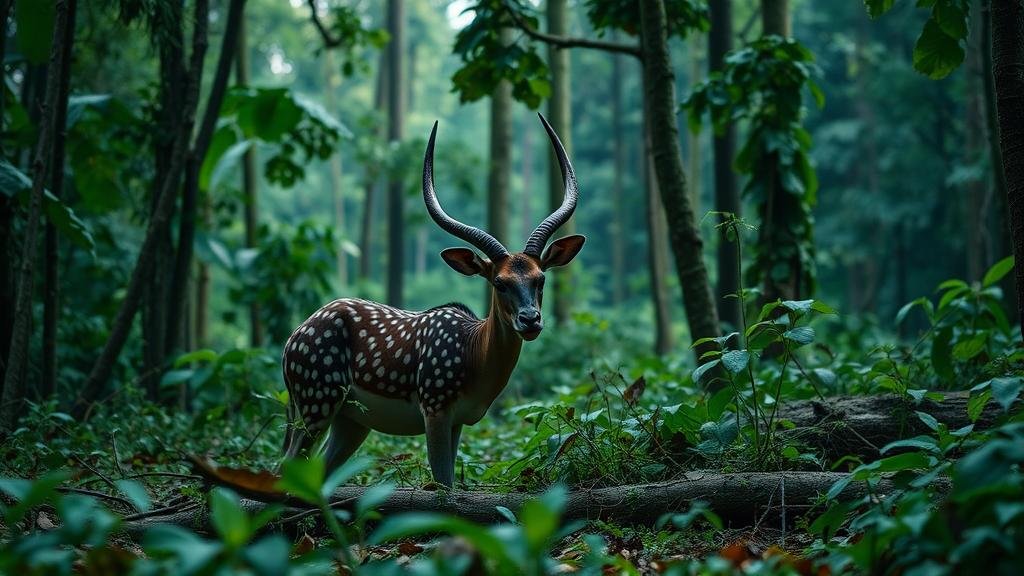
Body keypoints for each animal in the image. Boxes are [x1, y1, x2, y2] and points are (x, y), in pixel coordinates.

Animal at [280, 114, 585, 485]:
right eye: (499, 283)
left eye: (541, 279)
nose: (530, 319)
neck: (473, 358)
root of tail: (290, 342)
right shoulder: (434, 402)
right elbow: (441, 483)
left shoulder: (459, 420)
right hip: (316, 394)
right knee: (285, 465)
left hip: (351, 419)